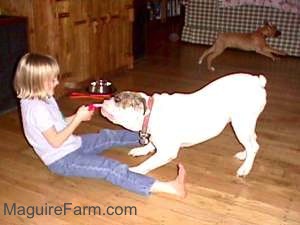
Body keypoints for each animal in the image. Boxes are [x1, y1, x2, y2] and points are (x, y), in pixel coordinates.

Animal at [101, 73, 268, 177]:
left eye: (116, 99)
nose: (104, 100)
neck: (150, 112)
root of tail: (257, 81)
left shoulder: (166, 152)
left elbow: (149, 163)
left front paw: (136, 170)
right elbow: (151, 145)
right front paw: (142, 150)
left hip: (241, 124)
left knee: (253, 146)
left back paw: (245, 168)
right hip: (245, 125)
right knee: (253, 142)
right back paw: (244, 155)